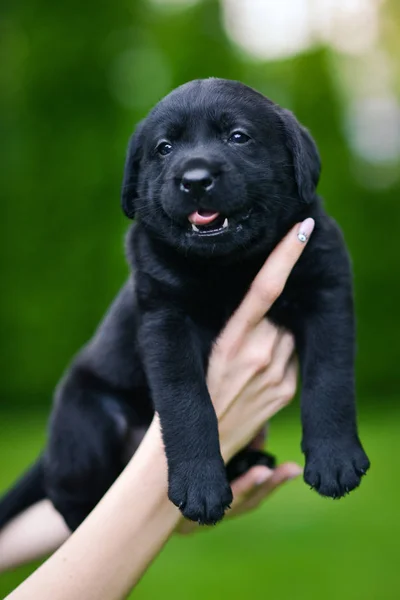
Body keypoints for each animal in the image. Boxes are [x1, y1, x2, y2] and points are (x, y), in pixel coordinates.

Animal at [0, 78, 368, 528]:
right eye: (164, 148)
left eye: (238, 137)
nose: (194, 180)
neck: (231, 266)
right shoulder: (167, 319)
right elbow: (187, 401)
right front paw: (200, 486)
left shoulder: (326, 291)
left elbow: (330, 378)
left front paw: (335, 460)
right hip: (87, 418)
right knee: (66, 492)